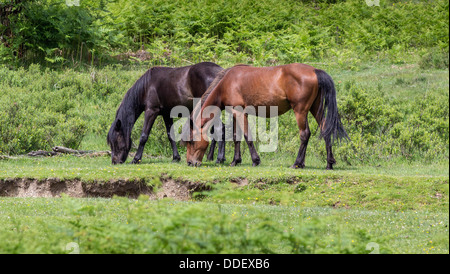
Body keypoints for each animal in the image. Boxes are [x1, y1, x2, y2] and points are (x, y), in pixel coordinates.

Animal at [186, 63, 348, 169]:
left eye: (191, 141)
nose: (190, 162)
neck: (226, 83)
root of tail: (315, 70)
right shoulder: (235, 113)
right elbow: (236, 137)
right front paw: (235, 161)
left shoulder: (240, 112)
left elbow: (247, 136)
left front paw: (255, 160)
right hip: (315, 109)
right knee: (325, 130)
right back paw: (328, 163)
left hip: (300, 111)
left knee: (305, 134)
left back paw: (297, 163)